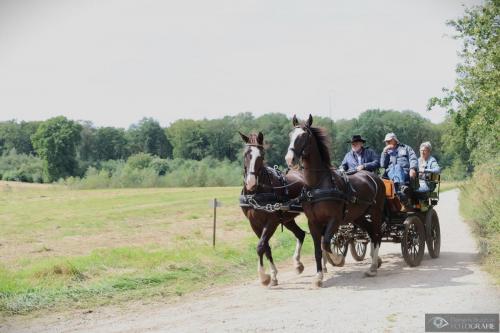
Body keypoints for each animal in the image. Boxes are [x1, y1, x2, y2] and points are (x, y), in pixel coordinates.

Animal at [239, 130, 306, 286]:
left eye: (261, 155)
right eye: (246, 154)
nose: (250, 182)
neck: (256, 193)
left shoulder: (272, 222)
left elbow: (260, 246)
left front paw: (263, 276)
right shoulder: (254, 223)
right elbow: (266, 247)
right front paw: (273, 275)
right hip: (288, 219)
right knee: (301, 234)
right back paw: (297, 264)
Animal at [284, 114, 384, 286]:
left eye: (304, 136)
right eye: (291, 135)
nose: (289, 159)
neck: (317, 184)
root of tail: (373, 177)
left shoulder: (335, 219)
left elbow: (326, 243)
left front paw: (337, 259)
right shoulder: (313, 222)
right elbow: (318, 249)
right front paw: (319, 276)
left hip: (376, 213)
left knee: (376, 236)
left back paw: (372, 267)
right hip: (358, 216)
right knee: (371, 233)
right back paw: (374, 263)